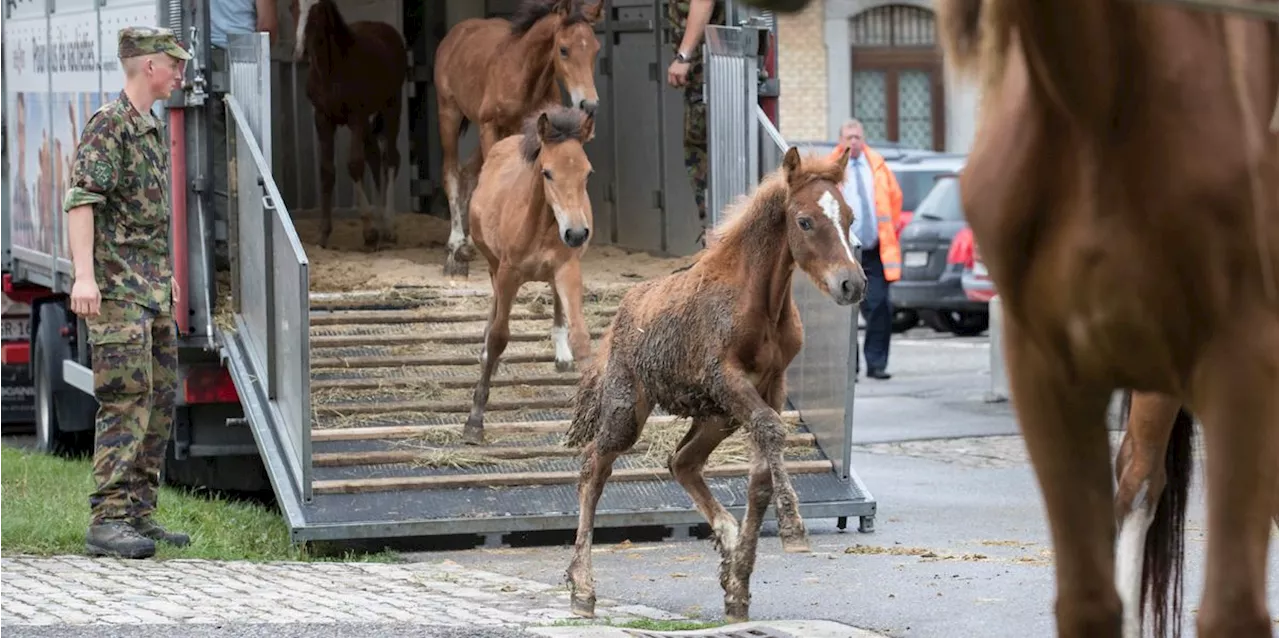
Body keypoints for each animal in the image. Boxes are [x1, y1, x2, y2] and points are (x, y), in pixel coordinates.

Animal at [293, 0, 407, 251]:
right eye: (292, 7)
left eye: (317, 9)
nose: (300, 52)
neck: (331, 71)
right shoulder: (323, 118)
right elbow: (327, 171)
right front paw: (323, 234)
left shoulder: (355, 117)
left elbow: (354, 164)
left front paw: (370, 232)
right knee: (374, 155)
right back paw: (380, 220)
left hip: (392, 105)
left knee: (390, 158)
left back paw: (388, 227)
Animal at [435, 0, 604, 276]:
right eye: (563, 49)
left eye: (595, 49)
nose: (588, 104)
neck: (524, 73)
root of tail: (455, 34)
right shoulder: (489, 126)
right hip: (449, 113)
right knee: (452, 173)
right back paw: (456, 250)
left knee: (469, 173)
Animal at [463, 106, 596, 445]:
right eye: (547, 172)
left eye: (588, 173)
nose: (576, 233)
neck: (540, 225)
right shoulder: (508, 272)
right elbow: (500, 336)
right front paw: (475, 420)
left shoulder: (567, 268)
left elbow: (582, 336)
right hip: (493, 263)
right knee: (495, 305)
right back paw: (486, 355)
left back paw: (561, 355)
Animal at [565, 146, 865, 622]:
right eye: (804, 221)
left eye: (850, 217)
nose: (852, 283)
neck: (760, 302)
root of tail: (618, 319)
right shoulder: (723, 376)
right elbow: (772, 433)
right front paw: (793, 530)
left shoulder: (772, 384)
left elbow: (760, 473)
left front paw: (739, 586)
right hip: (629, 408)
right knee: (593, 466)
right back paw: (582, 589)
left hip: (716, 417)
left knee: (682, 462)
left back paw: (727, 546)